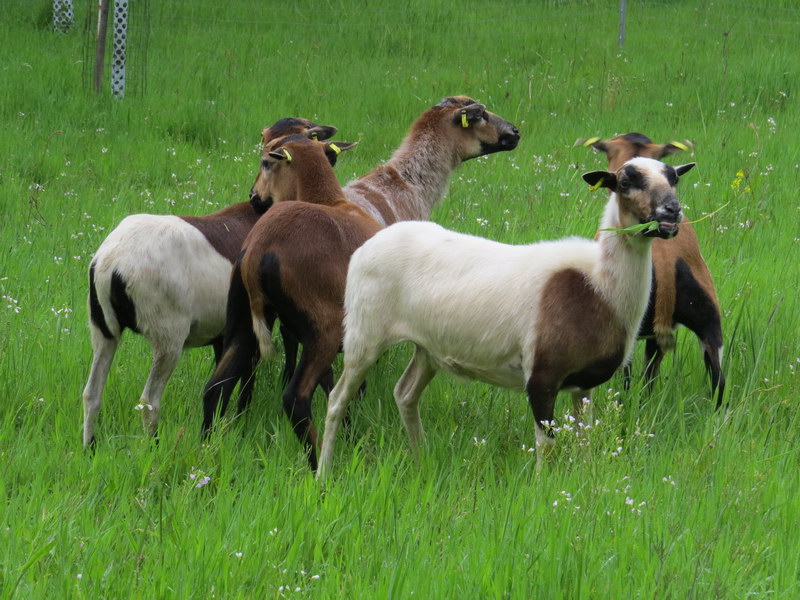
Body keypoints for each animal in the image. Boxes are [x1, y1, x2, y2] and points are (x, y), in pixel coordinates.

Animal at [83, 117, 340, 448]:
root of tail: (110, 263)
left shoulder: (225, 331)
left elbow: (228, 380)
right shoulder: (259, 323)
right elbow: (247, 377)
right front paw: (240, 420)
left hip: (103, 327)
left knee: (92, 394)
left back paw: (89, 448)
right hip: (168, 335)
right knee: (150, 400)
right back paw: (153, 448)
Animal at [203, 96, 520, 468]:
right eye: (481, 114)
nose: (516, 132)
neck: (404, 182)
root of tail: (257, 249)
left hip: (245, 318)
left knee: (220, 384)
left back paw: (212, 443)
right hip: (323, 326)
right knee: (299, 394)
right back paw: (320, 460)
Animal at [318, 157, 692, 480]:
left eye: (674, 177)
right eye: (626, 181)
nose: (672, 211)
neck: (598, 286)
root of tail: (369, 243)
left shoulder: (584, 384)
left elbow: (585, 437)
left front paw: (585, 479)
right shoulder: (542, 376)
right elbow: (547, 445)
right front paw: (542, 488)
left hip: (428, 348)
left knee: (405, 393)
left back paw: (421, 460)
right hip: (364, 333)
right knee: (337, 400)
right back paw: (324, 472)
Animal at [576, 131, 724, 404]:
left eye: (674, 178)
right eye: (625, 182)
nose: (672, 210)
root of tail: (666, 262)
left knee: (625, 378)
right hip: (709, 319)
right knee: (718, 383)